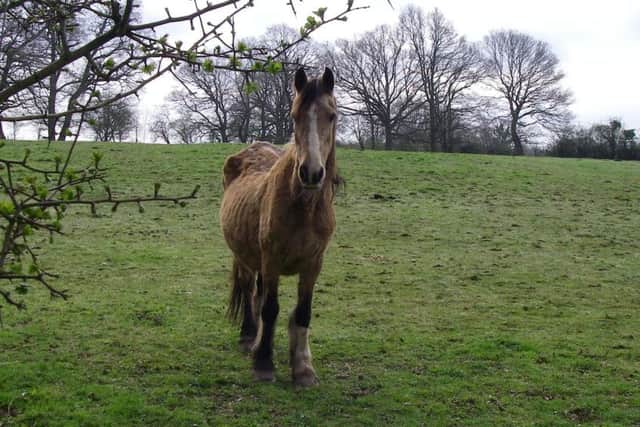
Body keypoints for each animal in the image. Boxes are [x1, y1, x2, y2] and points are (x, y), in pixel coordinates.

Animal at [219, 67, 339, 386]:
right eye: (295, 115)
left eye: (332, 115)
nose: (311, 173)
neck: (303, 208)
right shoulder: (271, 259)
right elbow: (271, 308)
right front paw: (263, 363)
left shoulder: (314, 263)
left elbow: (303, 313)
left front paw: (303, 369)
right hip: (245, 256)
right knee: (250, 290)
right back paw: (249, 337)